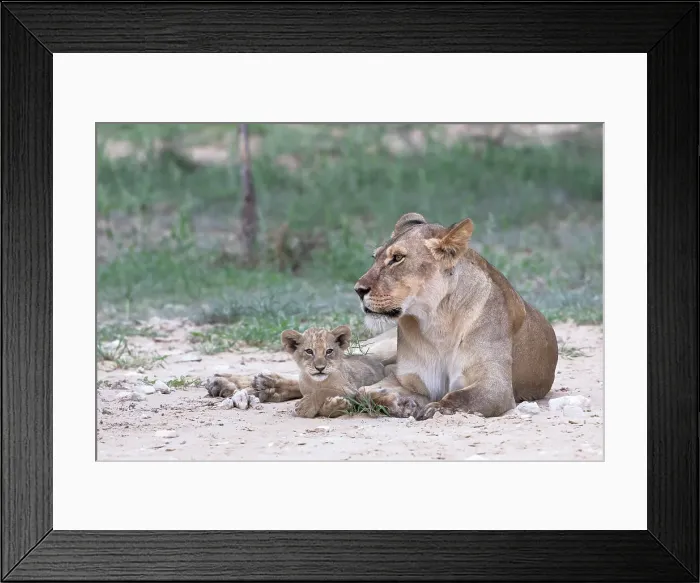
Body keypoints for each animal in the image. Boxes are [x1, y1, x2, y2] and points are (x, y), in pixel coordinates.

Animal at [349, 212, 559, 420]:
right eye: (375, 257)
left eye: (397, 258)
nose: (358, 290)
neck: (437, 324)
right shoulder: (410, 378)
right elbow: (364, 392)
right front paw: (403, 404)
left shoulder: (496, 385)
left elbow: (458, 397)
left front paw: (434, 408)